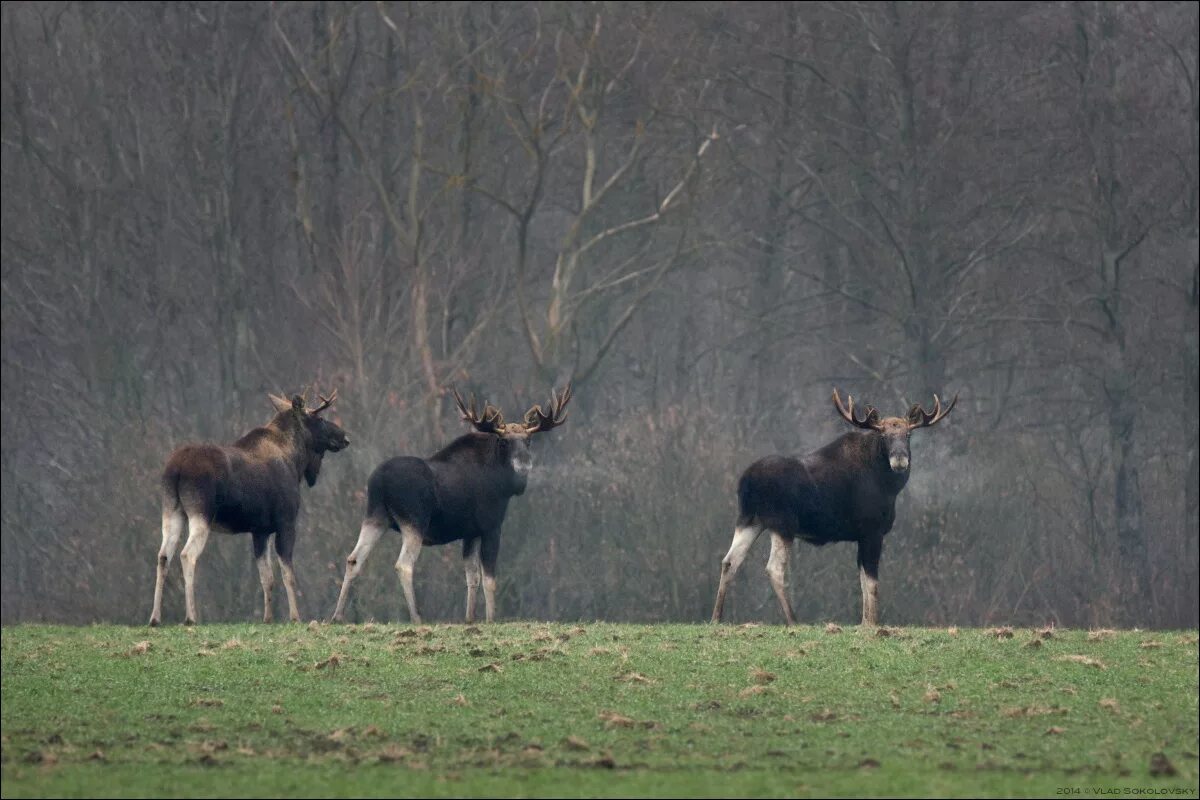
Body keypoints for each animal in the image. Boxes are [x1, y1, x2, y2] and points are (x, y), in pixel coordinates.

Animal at [147, 391, 350, 628]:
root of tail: (176, 469)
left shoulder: (260, 531)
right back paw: (190, 617)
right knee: (187, 554)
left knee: (163, 555)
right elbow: (288, 574)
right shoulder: (286, 523)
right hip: (200, 513)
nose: (344, 437)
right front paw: (295, 616)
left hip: (172, 510)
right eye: (319, 418)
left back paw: (155, 617)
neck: (296, 461)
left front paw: (268, 618)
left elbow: (267, 578)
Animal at [328, 383, 571, 623]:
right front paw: (491, 619)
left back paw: (337, 616)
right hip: (414, 521)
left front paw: (470, 619)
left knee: (354, 559)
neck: (504, 485)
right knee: (404, 565)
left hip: (376, 517)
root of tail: (379, 481)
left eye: (528, 440)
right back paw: (417, 617)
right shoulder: (491, 527)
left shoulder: (470, 533)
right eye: (504, 441)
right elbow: (489, 579)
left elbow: (472, 576)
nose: (523, 465)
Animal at [710, 388, 955, 623]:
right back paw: (794, 621)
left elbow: (863, 583)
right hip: (782, 523)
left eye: (908, 434)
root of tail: (746, 481)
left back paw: (716, 618)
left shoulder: (861, 536)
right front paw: (874, 624)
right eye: (883, 435)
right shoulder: (872, 531)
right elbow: (872, 584)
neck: (889, 486)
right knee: (774, 568)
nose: (900, 460)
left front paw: (864, 623)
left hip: (749, 519)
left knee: (729, 561)